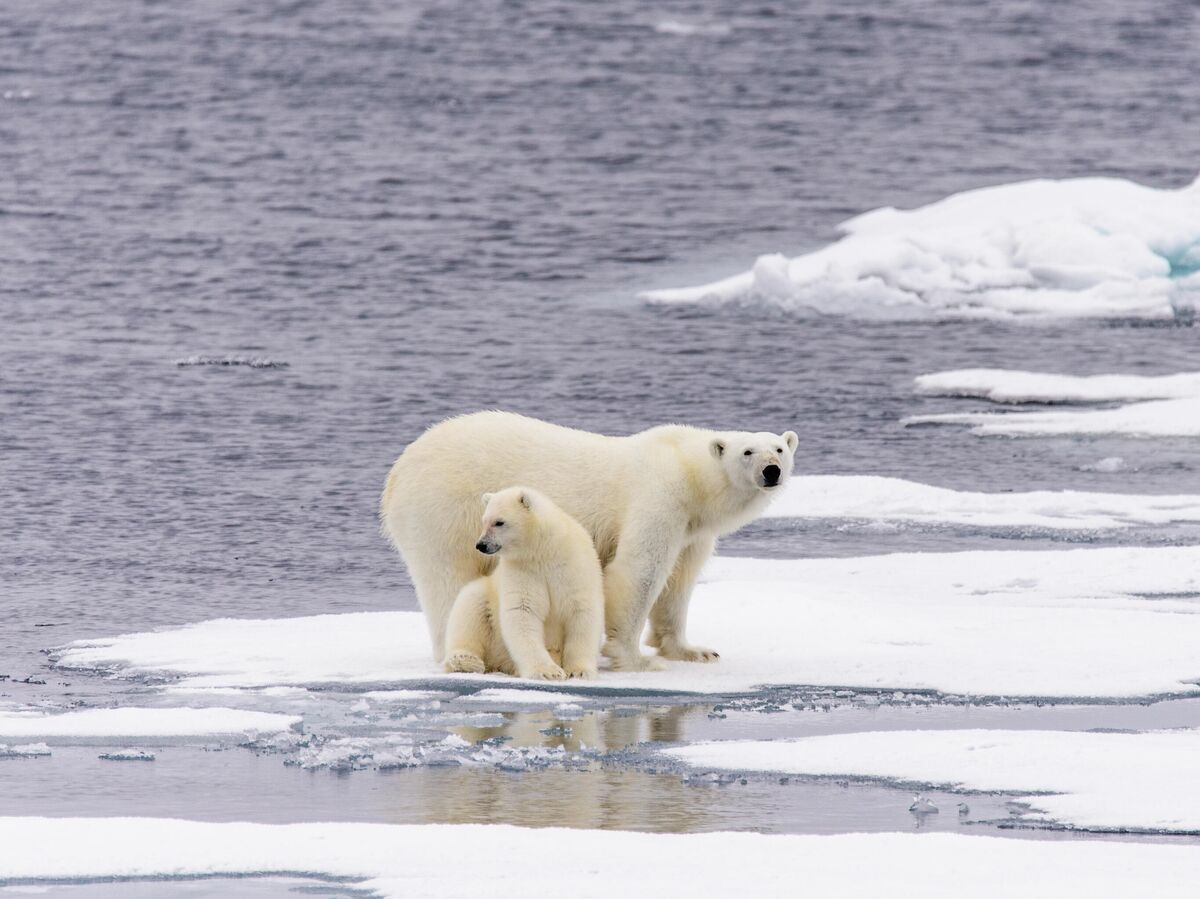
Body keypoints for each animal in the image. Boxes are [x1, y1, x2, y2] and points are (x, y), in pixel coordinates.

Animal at [443, 486, 604, 680]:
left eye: (499, 522)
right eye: (484, 521)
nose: (481, 545)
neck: (543, 549)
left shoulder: (572, 565)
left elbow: (581, 610)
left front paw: (579, 671)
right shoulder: (522, 569)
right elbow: (522, 610)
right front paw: (548, 672)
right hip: (489, 611)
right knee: (469, 606)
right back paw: (466, 661)